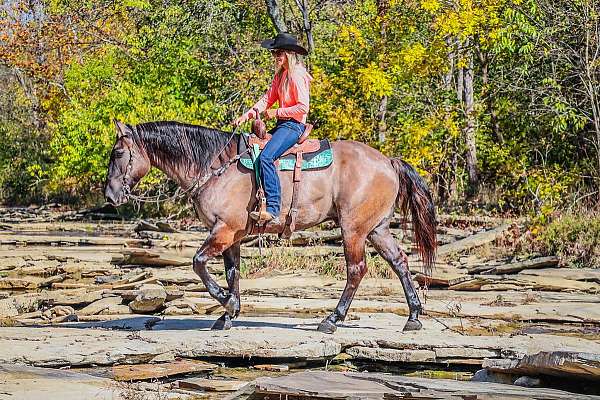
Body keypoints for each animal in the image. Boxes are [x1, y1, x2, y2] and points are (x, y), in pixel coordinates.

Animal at [104, 120, 436, 332]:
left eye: (118, 153)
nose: (109, 195)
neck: (215, 166)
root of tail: (388, 161)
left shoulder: (223, 230)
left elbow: (198, 263)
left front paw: (226, 303)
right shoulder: (232, 236)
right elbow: (232, 273)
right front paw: (228, 314)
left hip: (353, 230)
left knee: (356, 270)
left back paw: (332, 320)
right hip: (377, 228)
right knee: (399, 261)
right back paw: (413, 317)